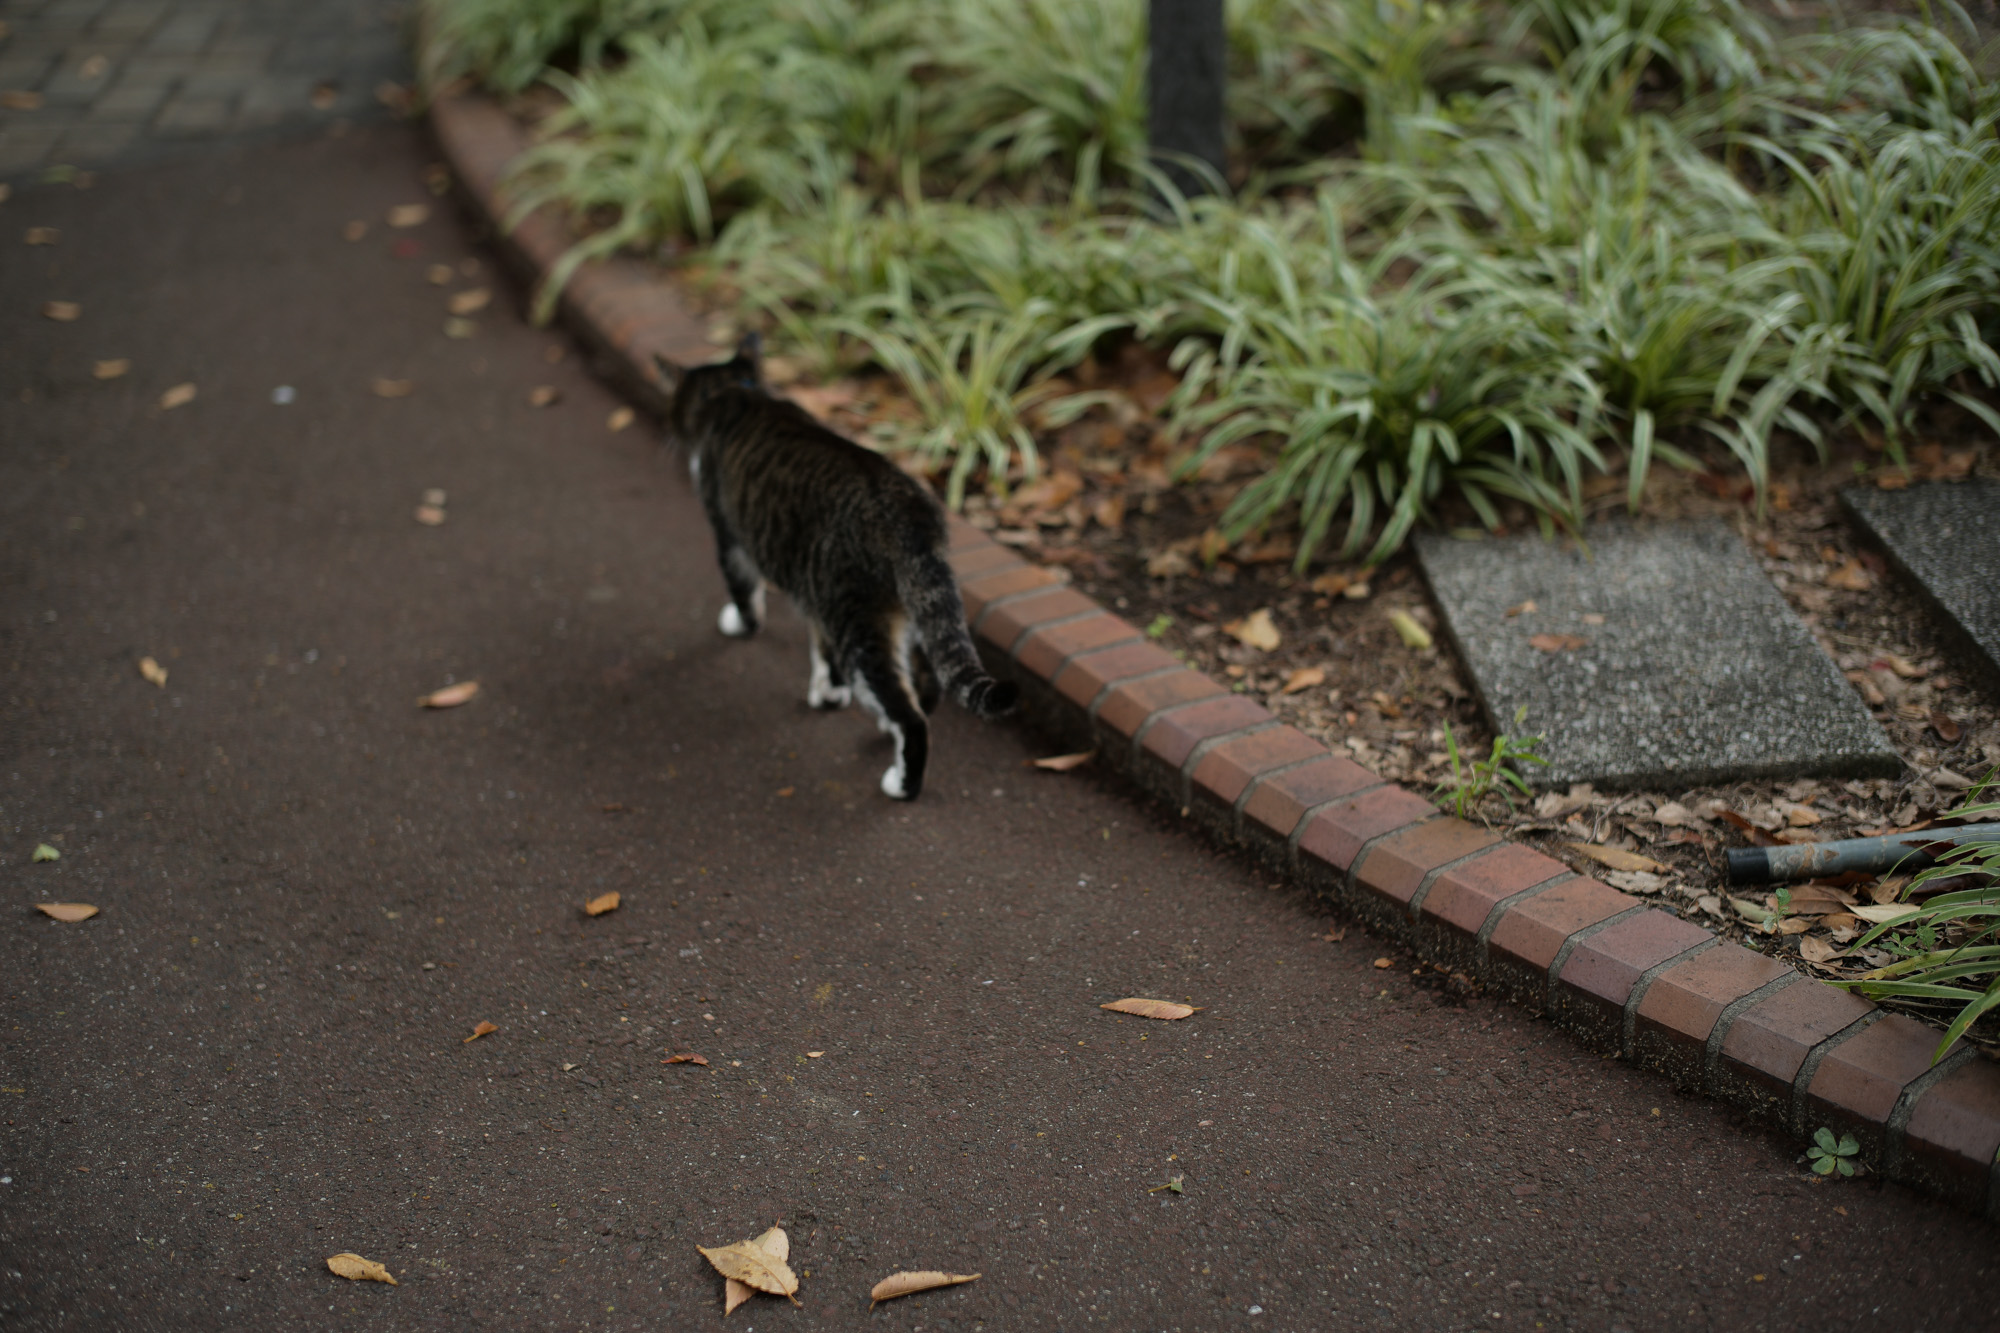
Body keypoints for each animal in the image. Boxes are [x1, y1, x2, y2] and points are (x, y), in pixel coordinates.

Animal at [664, 332, 1024, 800]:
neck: (737, 391)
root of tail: (908, 511)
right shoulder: (814, 592)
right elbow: (822, 650)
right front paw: (829, 692)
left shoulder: (730, 536)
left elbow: (744, 593)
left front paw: (740, 625)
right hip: (908, 608)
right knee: (926, 686)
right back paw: (889, 729)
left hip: (859, 623)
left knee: (910, 714)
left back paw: (902, 782)